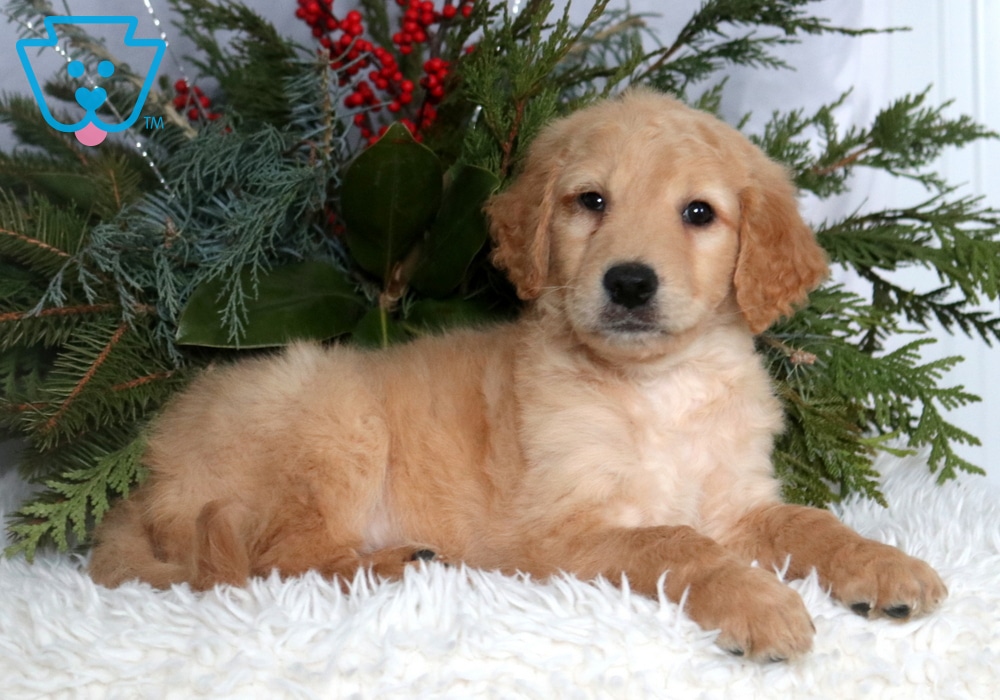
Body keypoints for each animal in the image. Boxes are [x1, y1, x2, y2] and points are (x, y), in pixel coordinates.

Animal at [89, 90, 946, 661]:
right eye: (590, 201)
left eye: (699, 213)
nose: (629, 283)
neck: (656, 390)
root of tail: (146, 474)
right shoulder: (555, 531)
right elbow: (677, 541)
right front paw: (761, 603)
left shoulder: (737, 498)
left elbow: (811, 522)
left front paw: (884, 565)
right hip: (334, 426)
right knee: (279, 558)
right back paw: (394, 564)